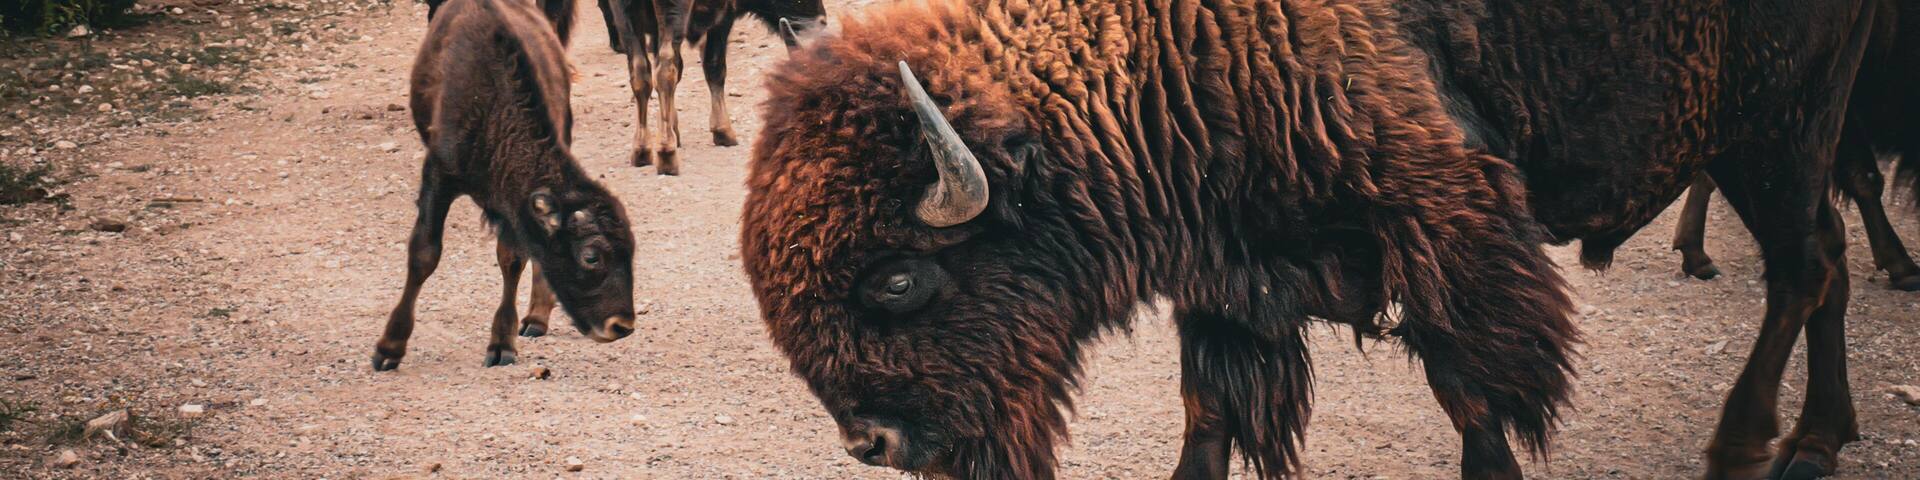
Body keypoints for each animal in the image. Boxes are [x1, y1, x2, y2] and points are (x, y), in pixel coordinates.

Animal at [375, 0, 638, 371]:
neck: (493, 107)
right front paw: (389, 349)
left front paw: (502, 344)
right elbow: (424, 253)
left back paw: (537, 319)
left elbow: (512, 258)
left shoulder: (513, 203)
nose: (621, 325)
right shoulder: (439, 176)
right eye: (591, 256)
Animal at [740, 0, 1914, 478]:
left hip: (1775, 132)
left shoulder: (1447, 239)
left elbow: (1477, 407)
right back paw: (1822, 437)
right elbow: (1209, 422)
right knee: (1825, 266)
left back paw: (1750, 447)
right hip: (1784, 143)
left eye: (899, 278)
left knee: (1805, 268)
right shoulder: (1228, 284)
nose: (875, 444)